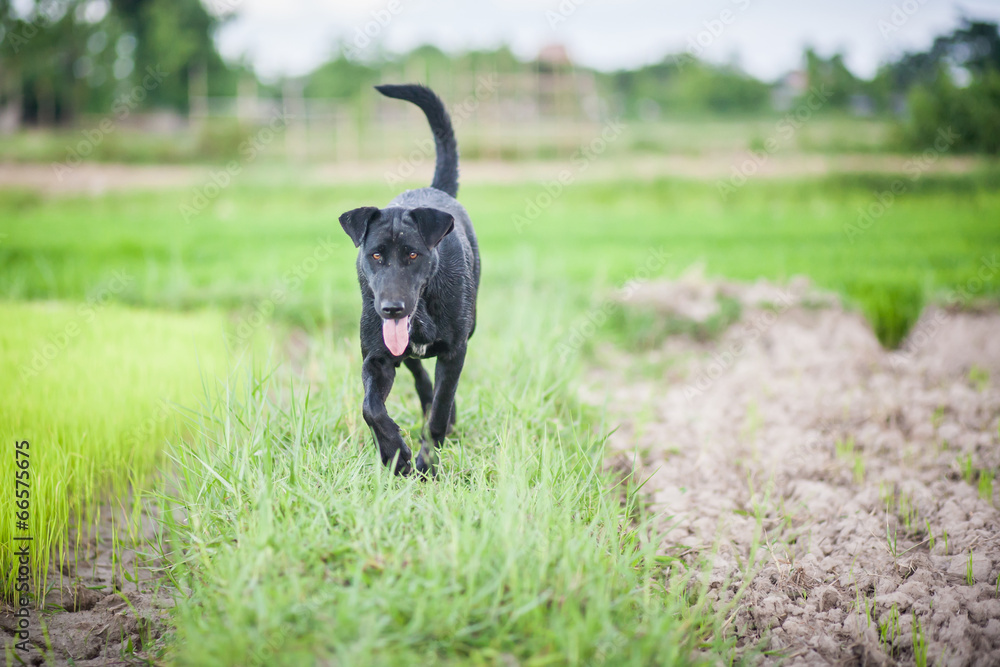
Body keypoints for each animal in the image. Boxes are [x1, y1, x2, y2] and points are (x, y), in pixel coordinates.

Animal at [339, 84, 480, 477]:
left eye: (413, 254)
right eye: (375, 255)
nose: (391, 308)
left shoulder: (455, 351)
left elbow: (440, 411)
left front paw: (426, 465)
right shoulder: (376, 357)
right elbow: (371, 407)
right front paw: (395, 455)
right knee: (418, 373)